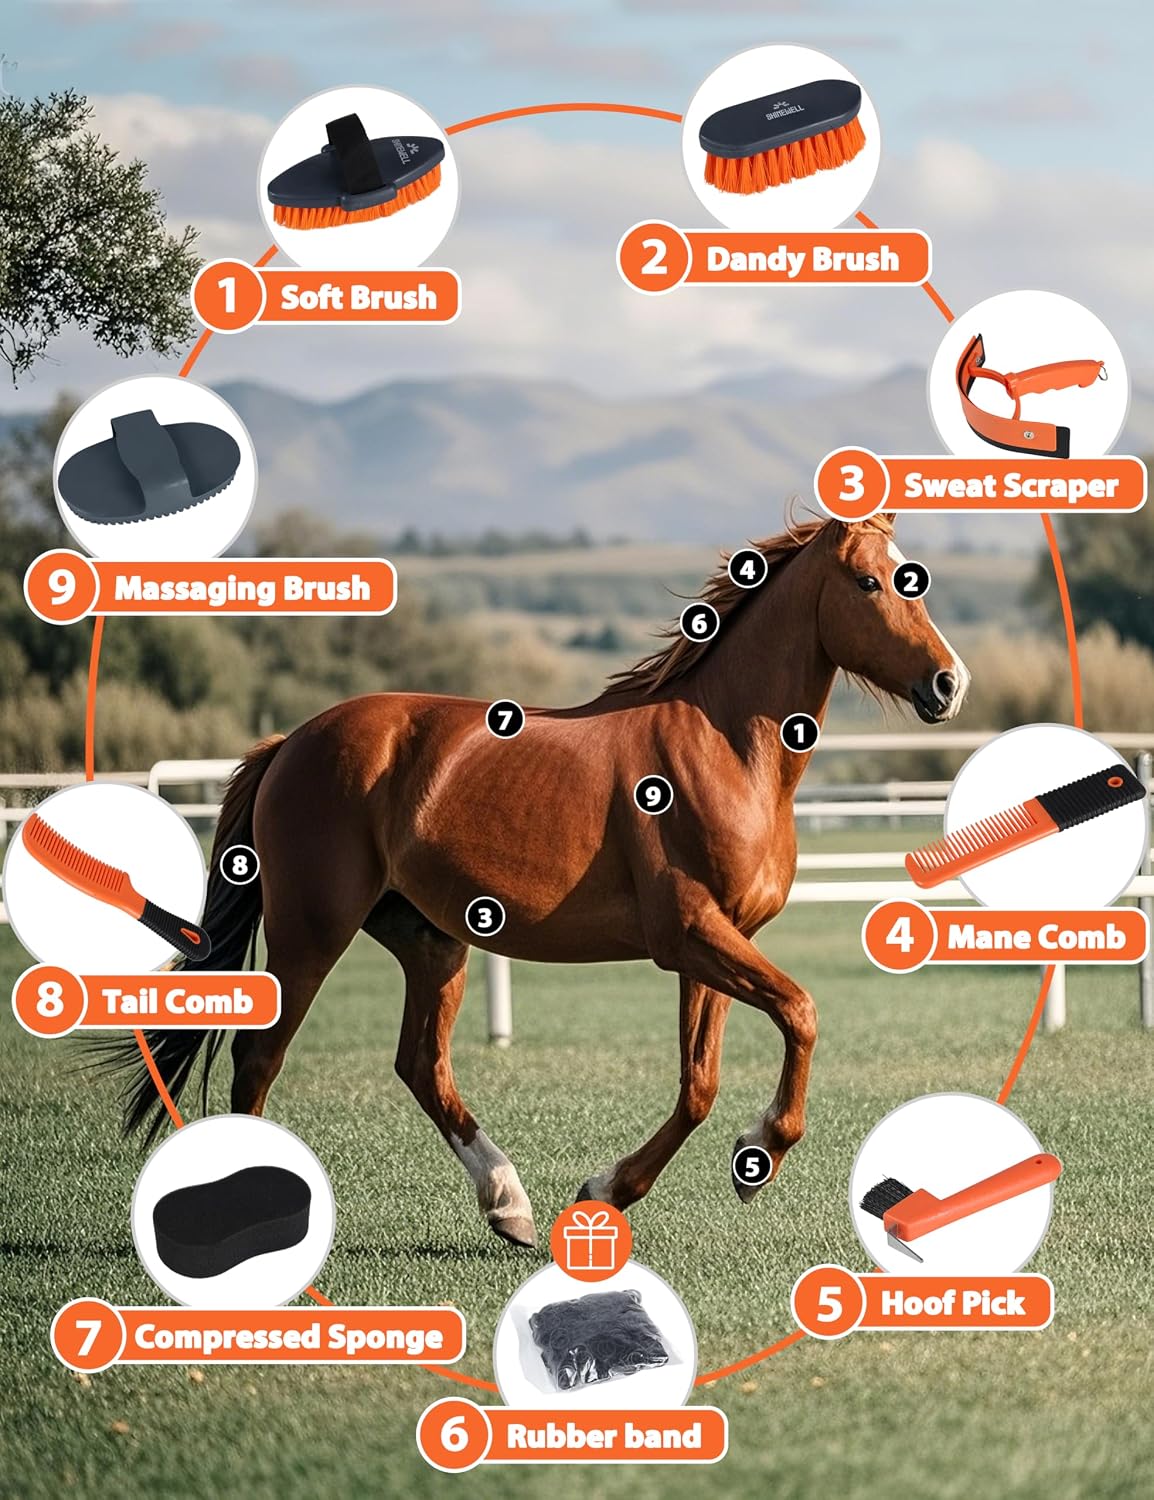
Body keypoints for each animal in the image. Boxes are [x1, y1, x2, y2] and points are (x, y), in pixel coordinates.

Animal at [106, 514, 969, 1249]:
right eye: (870, 582)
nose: (948, 684)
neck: (725, 747)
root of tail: (290, 743)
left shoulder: (718, 943)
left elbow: (700, 1083)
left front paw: (611, 1190)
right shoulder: (690, 935)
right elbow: (801, 1012)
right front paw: (755, 1156)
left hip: (431, 939)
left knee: (421, 1066)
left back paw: (509, 1205)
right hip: (310, 933)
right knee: (260, 1059)